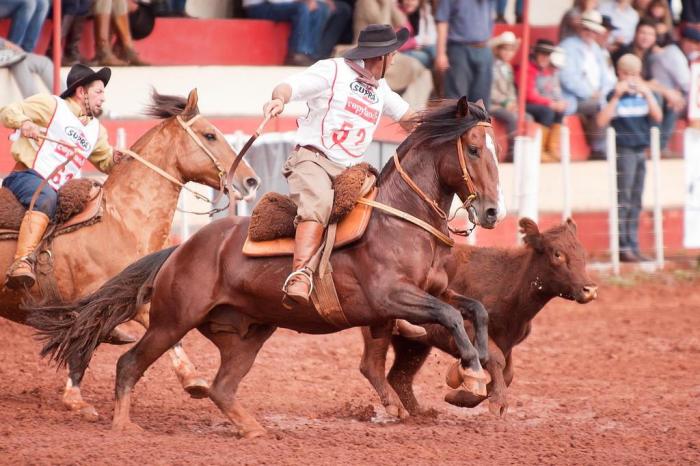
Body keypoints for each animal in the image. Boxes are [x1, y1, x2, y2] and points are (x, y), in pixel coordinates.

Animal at [0, 89, 260, 420]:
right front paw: (75, 399)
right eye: (210, 135)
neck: (121, 221)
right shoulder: (101, 299)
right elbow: (84, 339)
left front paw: (192, 380)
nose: (251, 181)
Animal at [30, 97, 504, 436]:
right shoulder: (393, 297)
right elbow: (451, 317)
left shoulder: (432, 291)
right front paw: (470, 377)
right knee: (130, 363)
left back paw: (253, 430)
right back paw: (124, 426)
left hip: (247, 332)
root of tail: (179, 250)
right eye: (474, 149)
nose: (493, 212)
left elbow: (475, 310)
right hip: (172, 321)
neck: (398, 217)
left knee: (221, 386)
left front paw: (480, 374)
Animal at [360, 218, 596, 418]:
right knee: (372, 365)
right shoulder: (470, 330)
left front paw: (461, 396)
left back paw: (419, 412)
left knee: (400, 376)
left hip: (414, 342)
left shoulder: (508, 340)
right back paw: (396, 407)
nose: (590, 289)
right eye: (557, 254)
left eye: (583, 253)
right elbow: (496, 360)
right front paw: (496, 401)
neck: (510, 283)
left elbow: (507, 372)